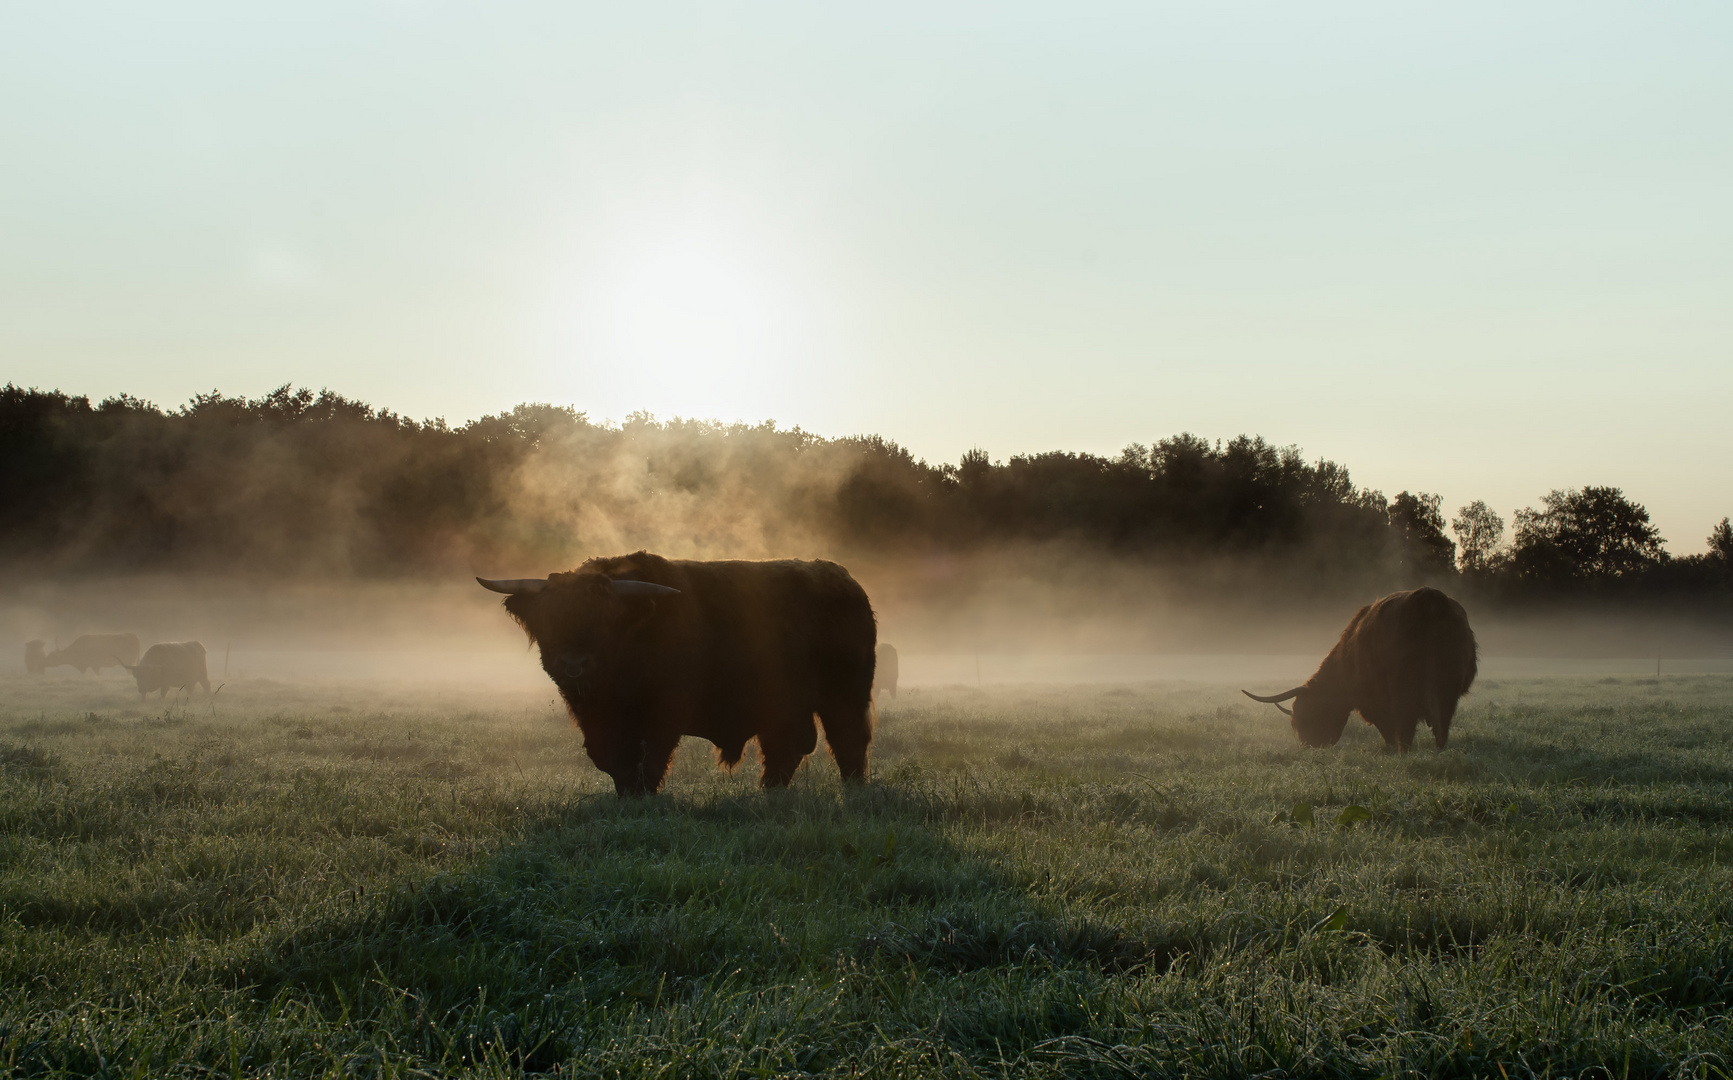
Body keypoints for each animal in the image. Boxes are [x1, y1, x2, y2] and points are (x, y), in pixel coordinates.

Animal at [478, 554, 873, 797]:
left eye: (605, 620)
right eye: (549, 618)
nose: (573, 663)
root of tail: (845, 580)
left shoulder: (665, 711)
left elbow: (651, 756)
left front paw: (643, 794)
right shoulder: (595, 718)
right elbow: (610, 756)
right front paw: (626, 792)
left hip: (846, 695)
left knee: (848, 742)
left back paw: (853, 792)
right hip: (785, 705)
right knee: (787, 746)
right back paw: (770, 792)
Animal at [1247, 585, 1476, 755]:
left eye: (1302, 719)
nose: (1309, 746)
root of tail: (1428, 598)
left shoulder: (1373, 700)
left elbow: (1386, 726)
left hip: (1404, 687)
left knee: (1407, 722)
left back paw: (1403, 751)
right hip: (1447, 684)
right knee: (1442, 722)